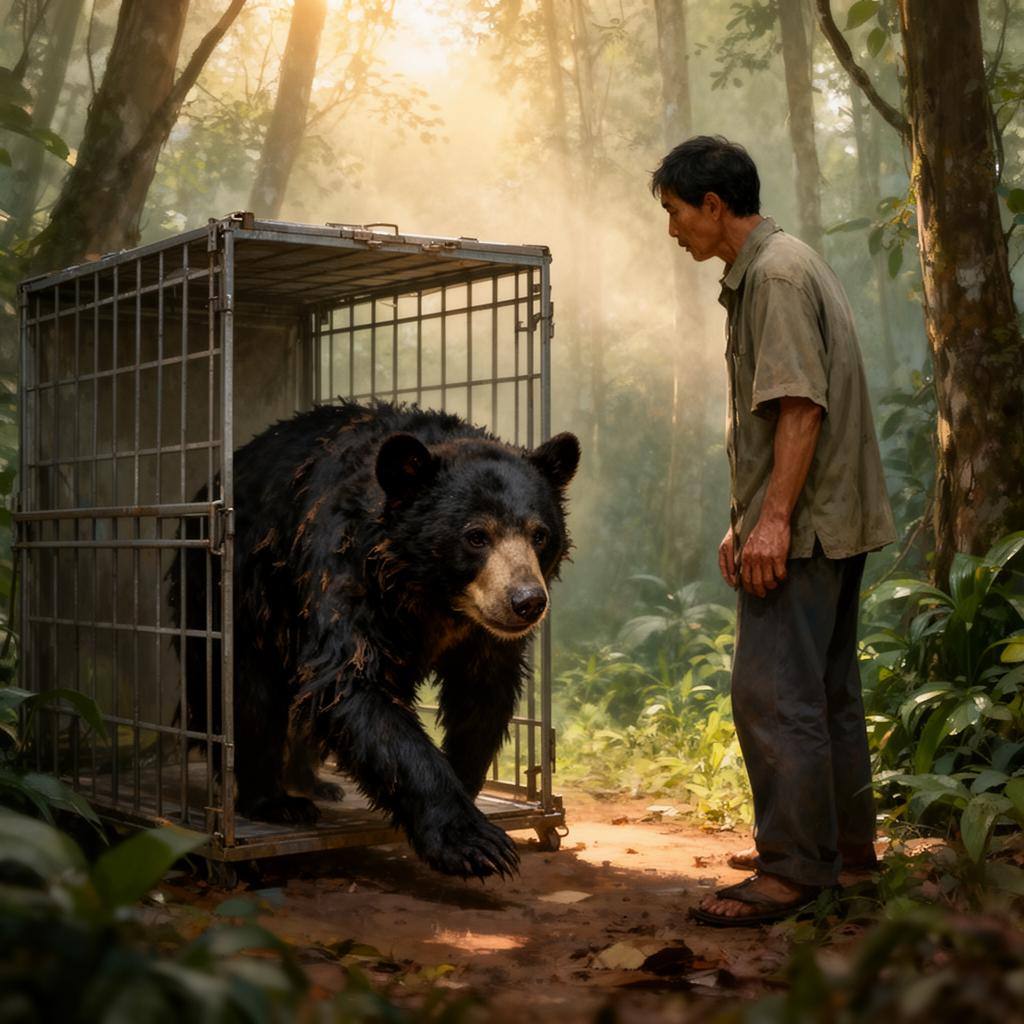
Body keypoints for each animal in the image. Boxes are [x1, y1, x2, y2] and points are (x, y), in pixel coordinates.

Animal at [170, 401, 579, 879]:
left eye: (540, 534)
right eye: (476, 536)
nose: (527, 601)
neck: (430, 594)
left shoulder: (484, 636)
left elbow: (482, 697)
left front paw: (465, 784)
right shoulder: (341, 568)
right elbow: (351, 684)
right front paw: (474, 843)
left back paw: (313, 782)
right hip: (232, 600)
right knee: (248, 702)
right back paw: (276, 801)